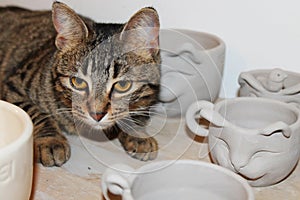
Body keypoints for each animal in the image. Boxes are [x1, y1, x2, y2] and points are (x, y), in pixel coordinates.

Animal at [0, 1, 161, 167]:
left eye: (122, 85)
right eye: (78, 82)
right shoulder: (12, 87)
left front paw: (138, 135)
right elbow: (36, 113)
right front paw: (51, 140)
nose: (97, 114)